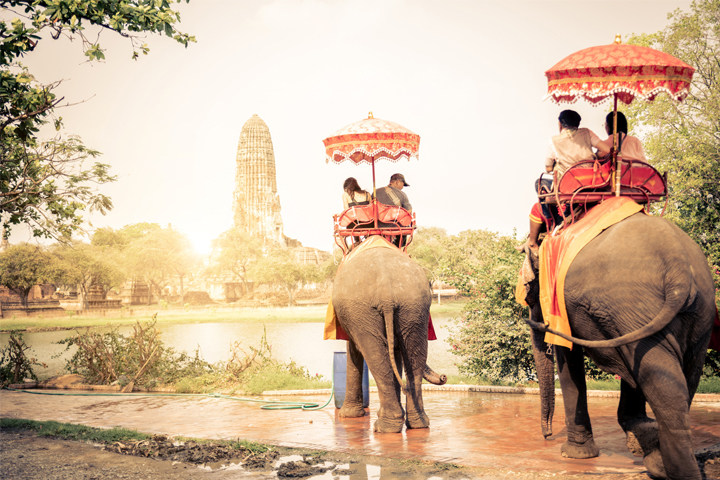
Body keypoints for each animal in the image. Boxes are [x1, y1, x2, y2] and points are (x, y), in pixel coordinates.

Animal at [334, 246, 448, 434]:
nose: (444, 377)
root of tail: (386, 292)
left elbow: (356, 349)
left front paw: (347, 416)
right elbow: (396, 352)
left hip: (364, 310)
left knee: (375, 355)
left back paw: (384, 427)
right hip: (413, 307)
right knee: (413, 354)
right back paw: (416, 423)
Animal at [520, 212, 716, 478]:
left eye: (530, 296)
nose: (547, 435)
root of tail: (680, 269)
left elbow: (568, 358)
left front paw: (573, 454)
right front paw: (639, 433)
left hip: (633, 304)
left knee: (660, 381)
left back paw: (666, 468)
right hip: (693, 313)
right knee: (679, 376)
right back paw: (658, 461)